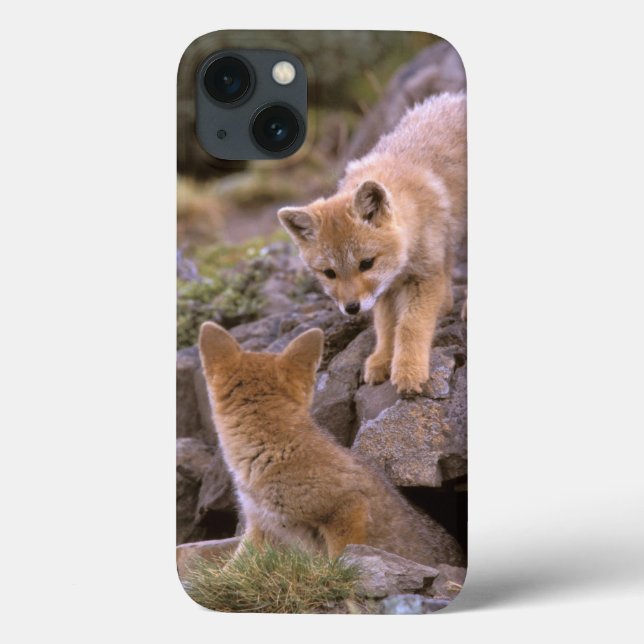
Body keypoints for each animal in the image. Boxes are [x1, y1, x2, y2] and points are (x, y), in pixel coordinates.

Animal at [278, 92, 466, 394]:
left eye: (366, 264)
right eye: (329, 273)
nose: (351, 308)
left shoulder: (424, 277)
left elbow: (410, 326)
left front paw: (408, 369)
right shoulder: (385, 290)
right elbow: (386, 327)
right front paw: (382, 359)